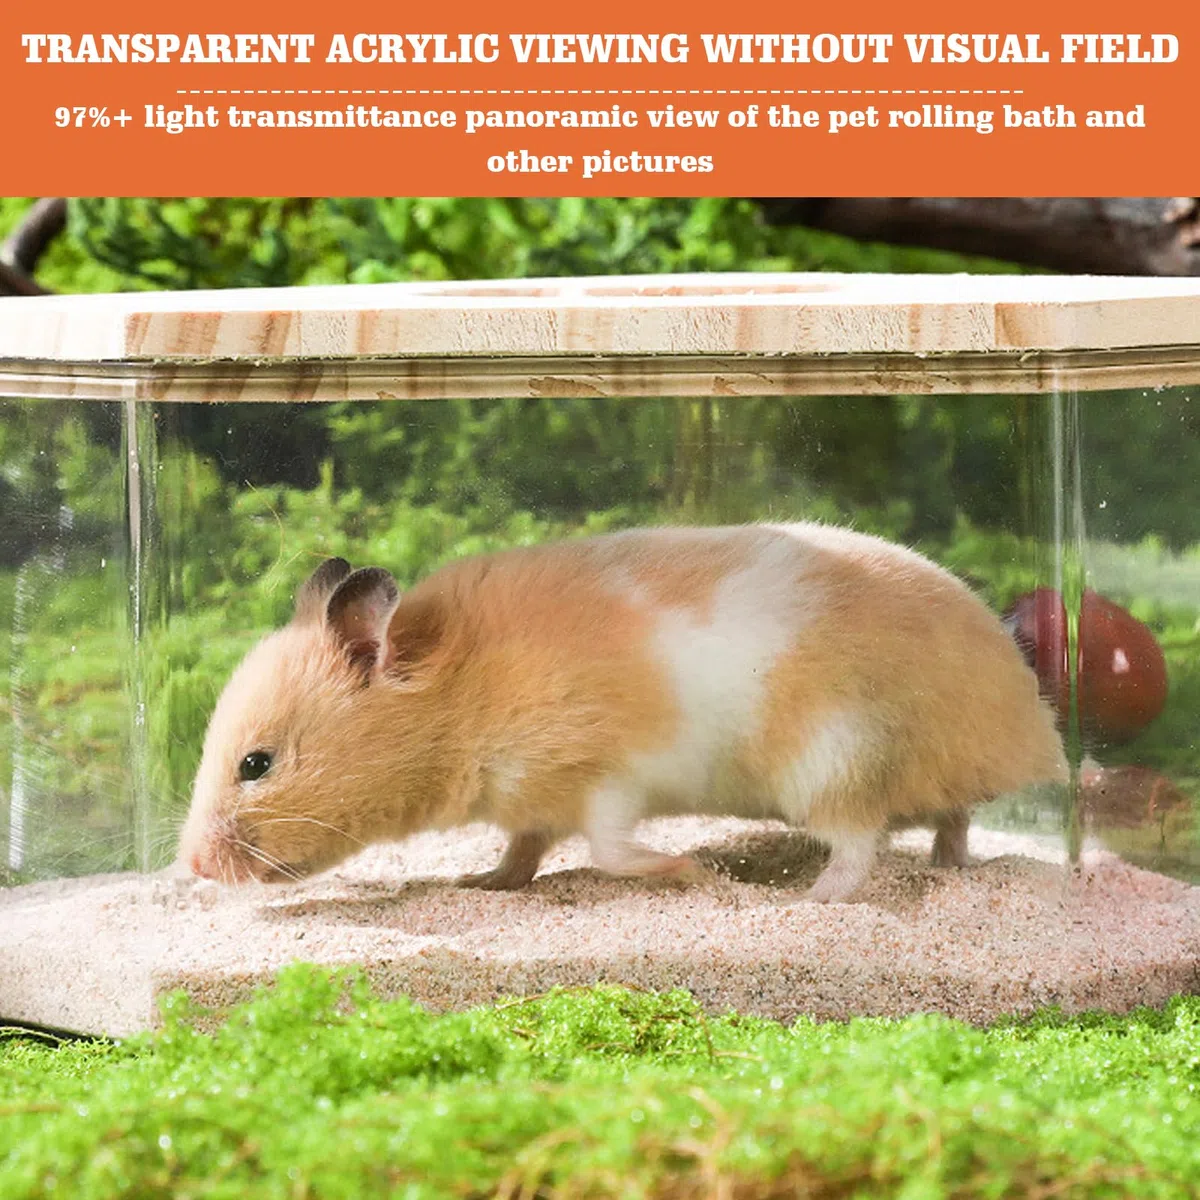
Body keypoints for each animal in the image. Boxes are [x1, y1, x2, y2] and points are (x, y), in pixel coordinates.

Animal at [178, 523, 1067, 903]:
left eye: (256, 764)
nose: (190, 867)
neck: (458, 702)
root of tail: (1032, 726)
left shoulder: (605, 779)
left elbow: (609, 850)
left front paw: (694, 873)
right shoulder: (533, 802)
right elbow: (522, 849)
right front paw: (481, 882)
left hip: (831, 761)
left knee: (858, 851)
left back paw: (804, 901)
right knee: (953, 821)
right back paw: (952, 868)